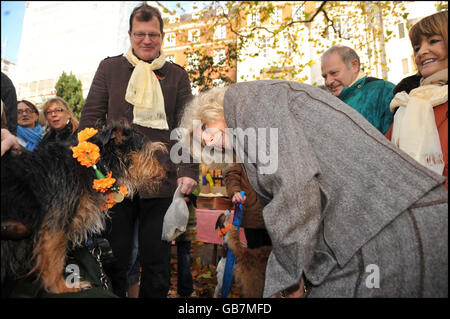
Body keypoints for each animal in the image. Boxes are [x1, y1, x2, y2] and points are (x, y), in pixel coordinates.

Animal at [1, 124, 167, 294]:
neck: (95, 164)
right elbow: (54, 259)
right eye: (150, 154)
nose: (165, 173)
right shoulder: (55, 225)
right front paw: (61, 287)